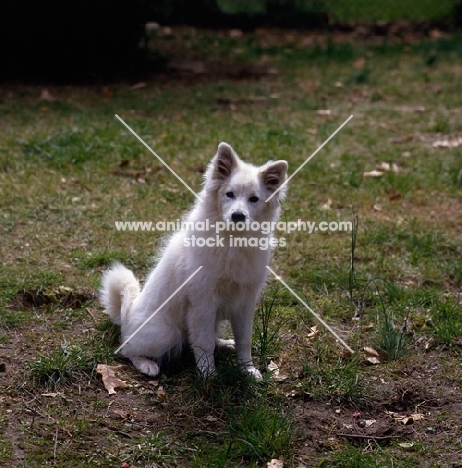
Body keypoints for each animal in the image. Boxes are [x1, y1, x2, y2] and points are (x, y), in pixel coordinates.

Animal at [100, 143, 286, 380]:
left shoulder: (245, 302)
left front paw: (248, 370)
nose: (238, 216)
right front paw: (208, 375)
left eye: (254, 199)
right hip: (167, 333)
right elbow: (204, 344)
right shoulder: (202, 303)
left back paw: (226, 344)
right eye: (229, 194)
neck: (232, 241)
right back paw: (146, 365)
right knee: (128, 349)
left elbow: (244, 341)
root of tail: (126, 316)